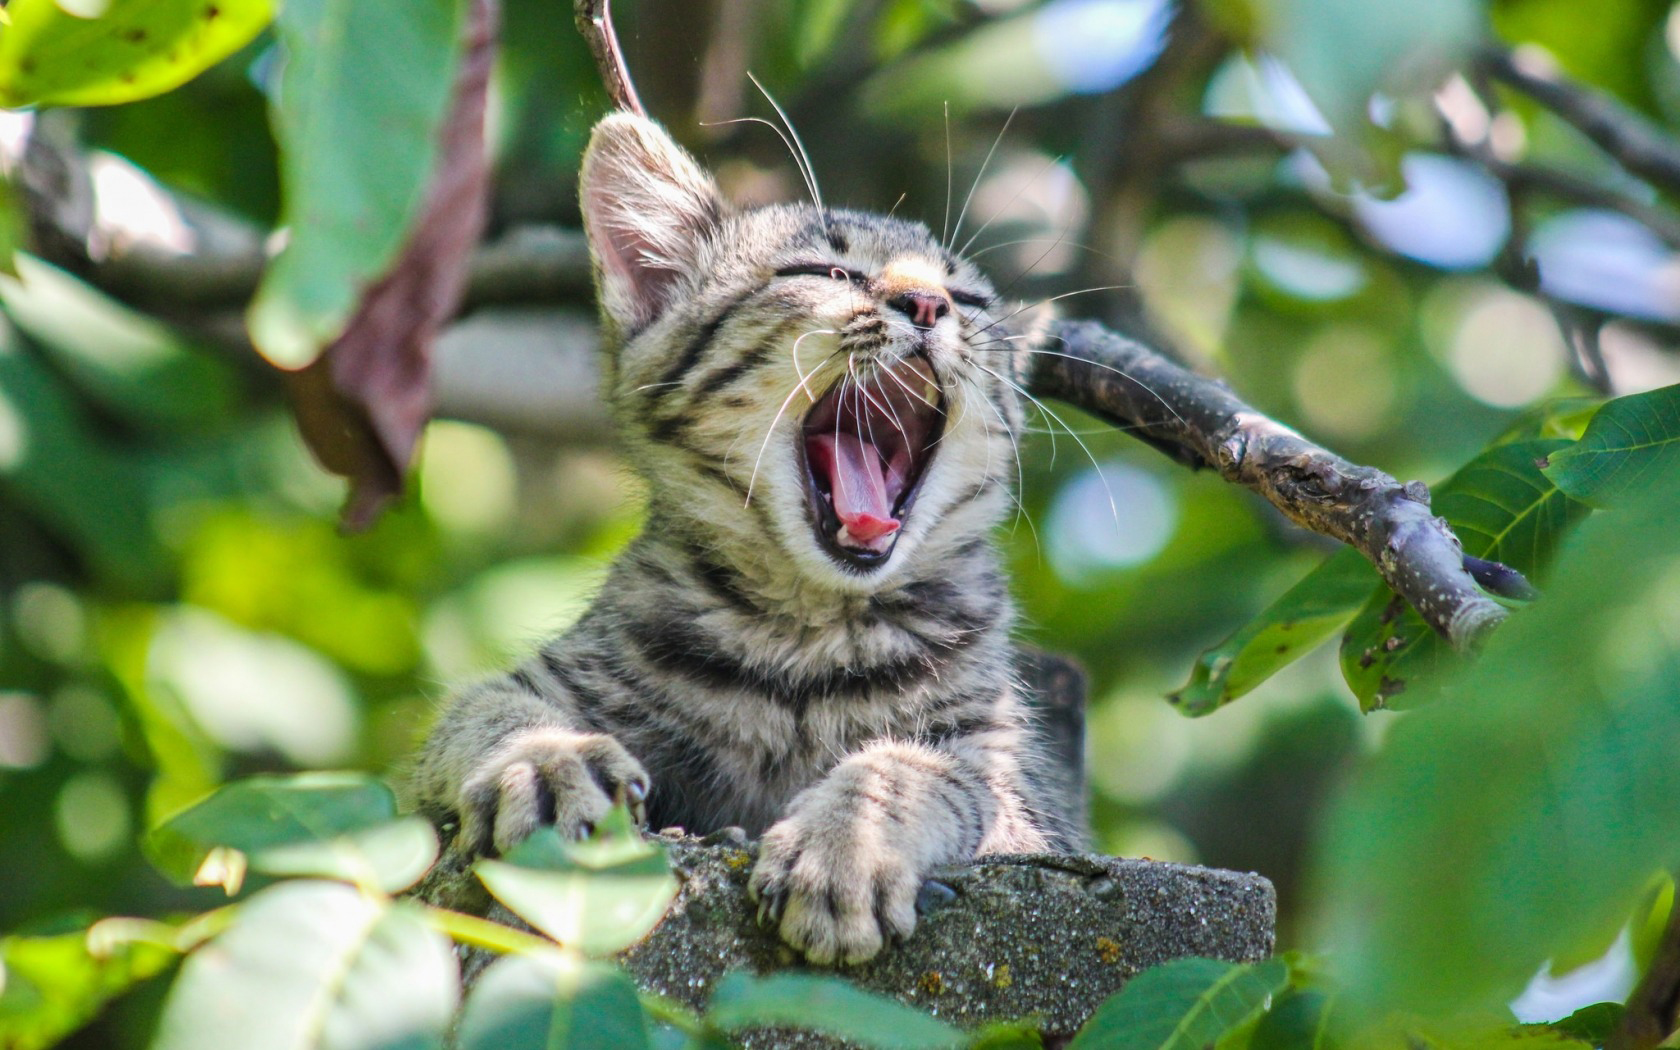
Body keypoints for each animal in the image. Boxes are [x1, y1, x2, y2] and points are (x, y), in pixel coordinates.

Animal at [418, 110, 1075, 960]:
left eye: (968, 299)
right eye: (826, 272)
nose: (929, 304)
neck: (802, 639)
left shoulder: (1020, 795)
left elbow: (928, 766)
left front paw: (848, 841)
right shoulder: (542, 687)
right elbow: (480, 707)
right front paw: (542, 758)